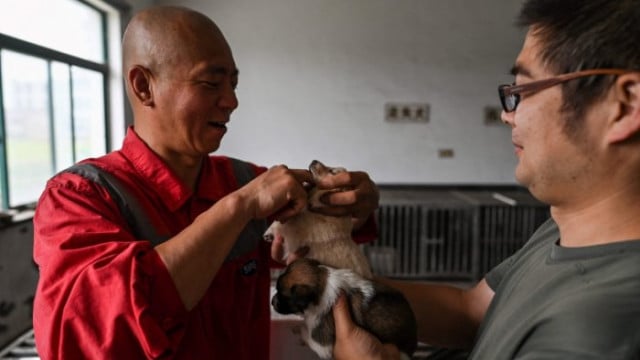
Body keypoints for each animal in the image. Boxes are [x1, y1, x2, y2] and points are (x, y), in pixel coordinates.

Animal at [272, 258, 418, 358]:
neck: (321, 280)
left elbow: (307, 333)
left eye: (283, 296)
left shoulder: (321, 343)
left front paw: (298, 330)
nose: (272, 302)